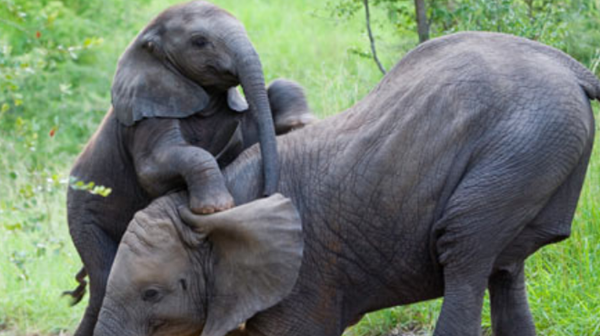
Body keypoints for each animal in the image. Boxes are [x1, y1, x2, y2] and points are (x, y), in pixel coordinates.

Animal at [65, 0, 316, 336]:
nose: (267, 192)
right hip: (83, 217)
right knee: (103, 279)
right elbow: (155, 171)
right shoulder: (147, 114)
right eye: (199, 42)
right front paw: (214, 207)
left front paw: (301, 124)